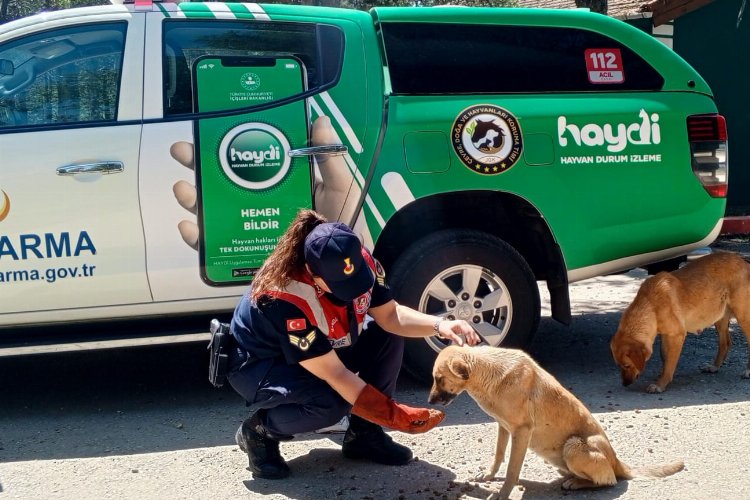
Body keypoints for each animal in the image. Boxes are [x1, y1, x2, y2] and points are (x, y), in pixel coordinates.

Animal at [428, 346, 680, 498]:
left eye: (439, 379)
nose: (429, 401)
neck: (487, 371)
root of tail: (617, 461)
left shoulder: (521, 432)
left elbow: (511, 470)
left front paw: (502, 493)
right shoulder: (503, 427)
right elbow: (499, 456)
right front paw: (489, 476)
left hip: (574, 446)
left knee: (609, 480)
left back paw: (577, 483)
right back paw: (572, 477)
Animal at [612, 252, 750, 392]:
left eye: (627, 365)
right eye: (618, 365)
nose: (624, 384)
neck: (650, 304)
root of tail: (743, 261)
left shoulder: (677, 335)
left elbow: (670, 362)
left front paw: (661, 383)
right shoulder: (666, 335)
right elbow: (664, 356)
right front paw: (662, 375)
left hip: (743, 317)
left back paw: (748, 371)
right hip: (718, 317)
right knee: (725, 343)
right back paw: (714, 367)